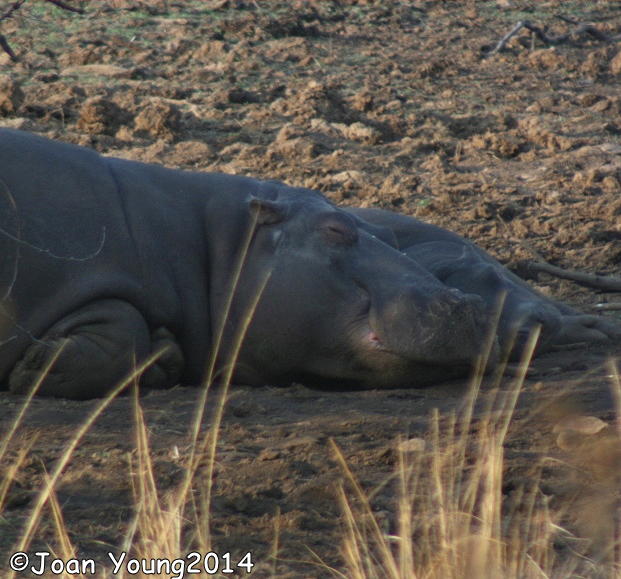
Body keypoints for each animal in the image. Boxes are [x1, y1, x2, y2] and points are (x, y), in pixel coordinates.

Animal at [0, 129, 616, 398]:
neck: (205, 242)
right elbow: (120, 323)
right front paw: (36, 366)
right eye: (337, 230)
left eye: (382, 232)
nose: (462, 303)